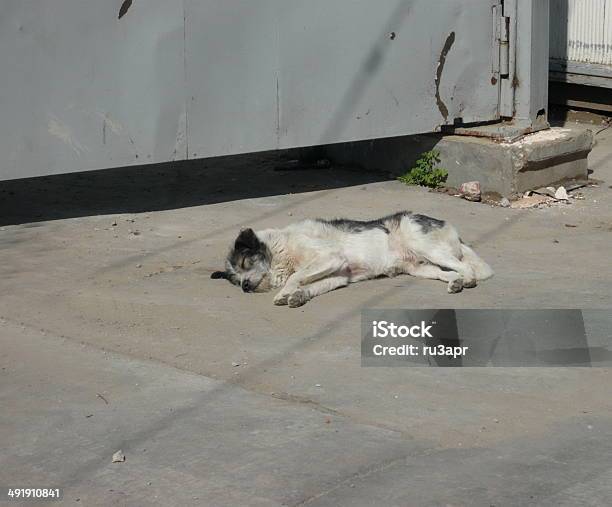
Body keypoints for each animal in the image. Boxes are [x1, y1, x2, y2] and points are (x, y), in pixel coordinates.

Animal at [212, 209, 492, 306]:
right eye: (235, 280)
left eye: (245, 263)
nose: (244, 287)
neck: (281, 249)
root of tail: (446, 223)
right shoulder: (338, 276)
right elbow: (310, 285)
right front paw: (298, 296)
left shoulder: (331, 258)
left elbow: (296, 276)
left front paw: (286, 292)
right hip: (420, 268)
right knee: (450, 272)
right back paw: (455, 283)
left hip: (424, 245)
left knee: (466, 267)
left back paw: (467, 281)